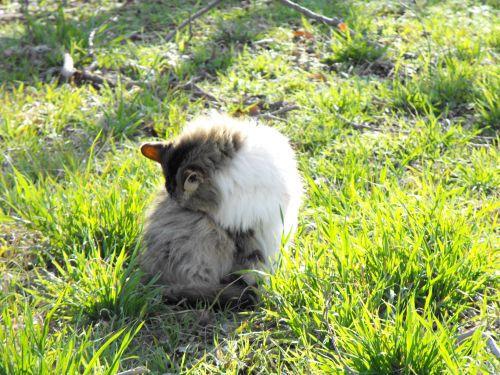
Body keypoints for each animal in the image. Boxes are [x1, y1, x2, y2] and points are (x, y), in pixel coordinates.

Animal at [140, 113, 300, 306]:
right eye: (189, 208)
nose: (178, 205)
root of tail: (155, 284)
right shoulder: (244, 233)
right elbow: (254, 267)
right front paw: (262, 293)